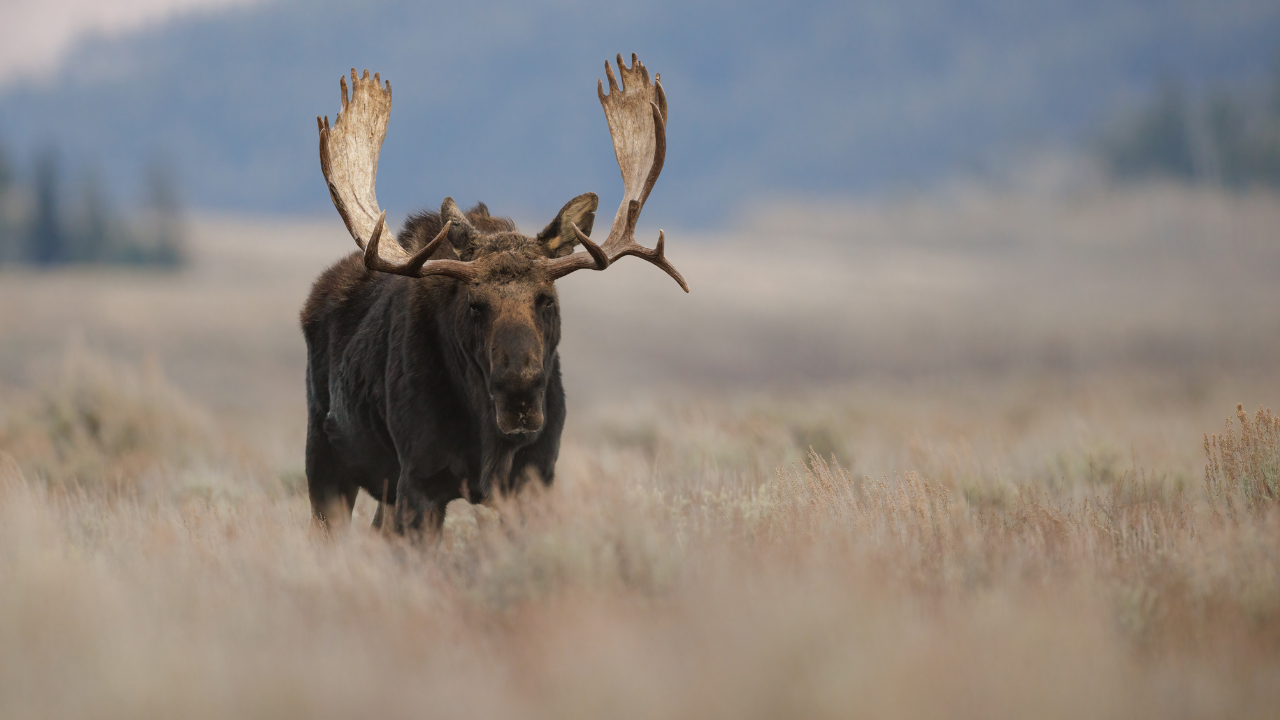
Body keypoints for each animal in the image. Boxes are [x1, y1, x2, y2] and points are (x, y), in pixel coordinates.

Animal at [299, 54, 686, 532]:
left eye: (547, 299)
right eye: (475, 304)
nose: (518, 393)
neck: (488, 440)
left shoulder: (535, 478)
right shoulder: (420, 481)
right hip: (324, 460)